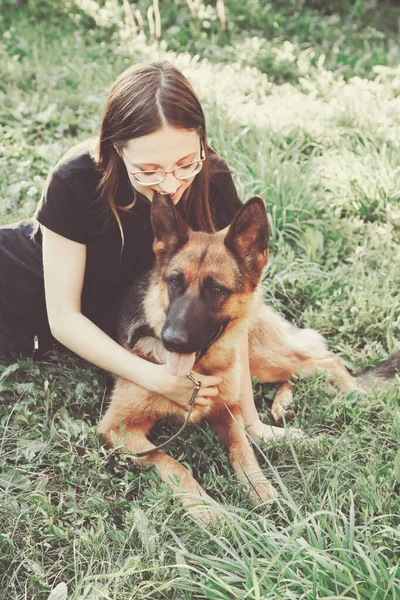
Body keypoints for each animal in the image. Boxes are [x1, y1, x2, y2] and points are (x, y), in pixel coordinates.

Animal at [97, 193, 400, 524]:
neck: (198, 373)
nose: (171, 341)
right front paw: (204, 506)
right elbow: (168, 460)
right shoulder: (118, 428)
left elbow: (243, 448)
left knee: (325, 360)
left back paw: (356, 395)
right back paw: (285, 405)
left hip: (259, 359)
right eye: (175, 282)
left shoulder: (228, 410)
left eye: (215, 289)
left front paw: (258, 486)